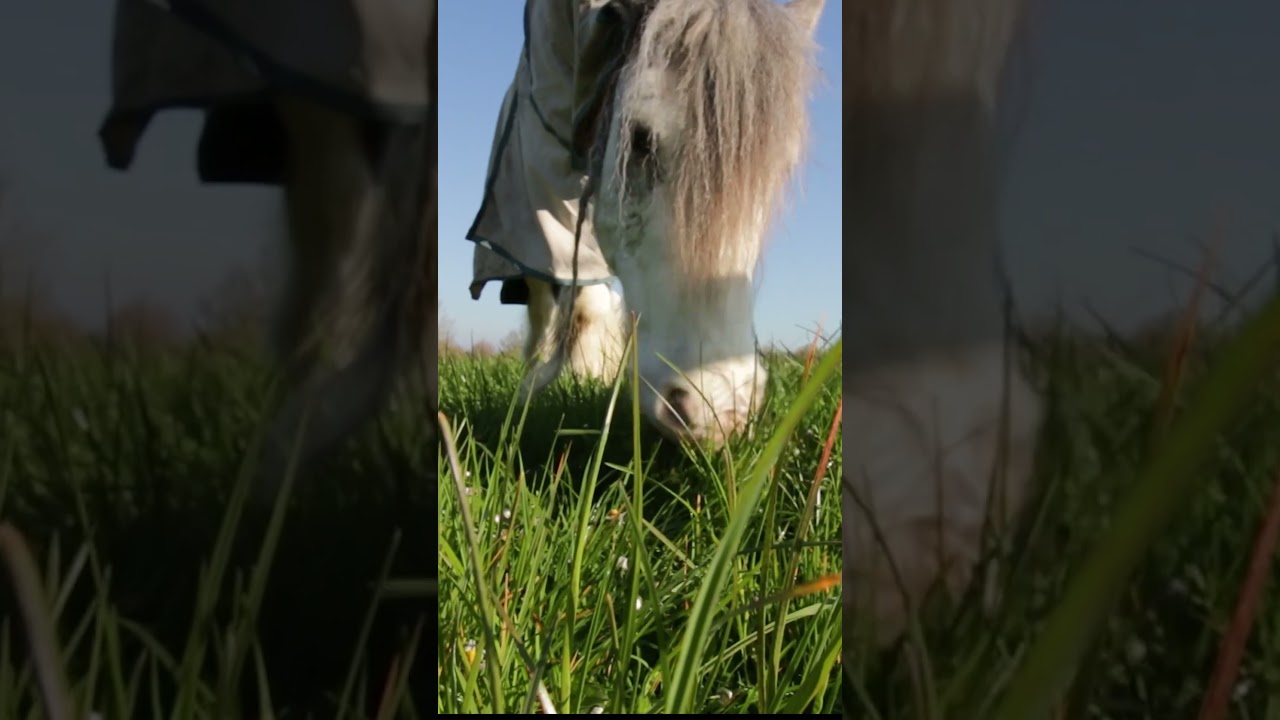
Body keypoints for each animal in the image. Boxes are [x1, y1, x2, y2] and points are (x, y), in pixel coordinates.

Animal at [467, 0, 825, 447]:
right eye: (640, 140)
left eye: (779, 168)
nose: (717, 412)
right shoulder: (533, 178)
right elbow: (564, 287)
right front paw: (548, 385)